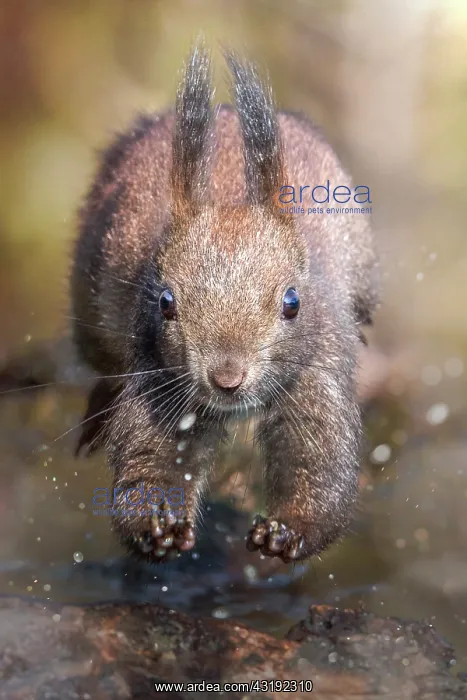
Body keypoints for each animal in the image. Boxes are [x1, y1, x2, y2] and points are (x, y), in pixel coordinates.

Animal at [70, 44, 379, 564]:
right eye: (166, 302)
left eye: (292, 303)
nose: (227, 379)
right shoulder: (158, 376)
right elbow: (151, 458)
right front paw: (157, 527)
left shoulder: (318, 365)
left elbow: (320, 461)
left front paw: (286, 531)